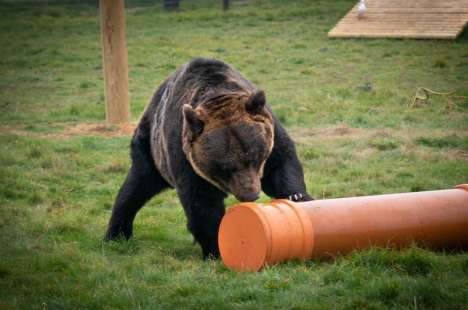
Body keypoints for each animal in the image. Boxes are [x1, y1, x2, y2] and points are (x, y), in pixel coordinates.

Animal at [104, 58, 312, 260]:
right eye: (225, 167)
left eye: (255, 157)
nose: (250, 194)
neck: (216, 93)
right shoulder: (186, 157)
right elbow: (202, 203)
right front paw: (217, 248)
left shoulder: (271, 136)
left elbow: (282, 166)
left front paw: (298, 197)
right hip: (150, 151)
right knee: (134, 189)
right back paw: (116, 235)